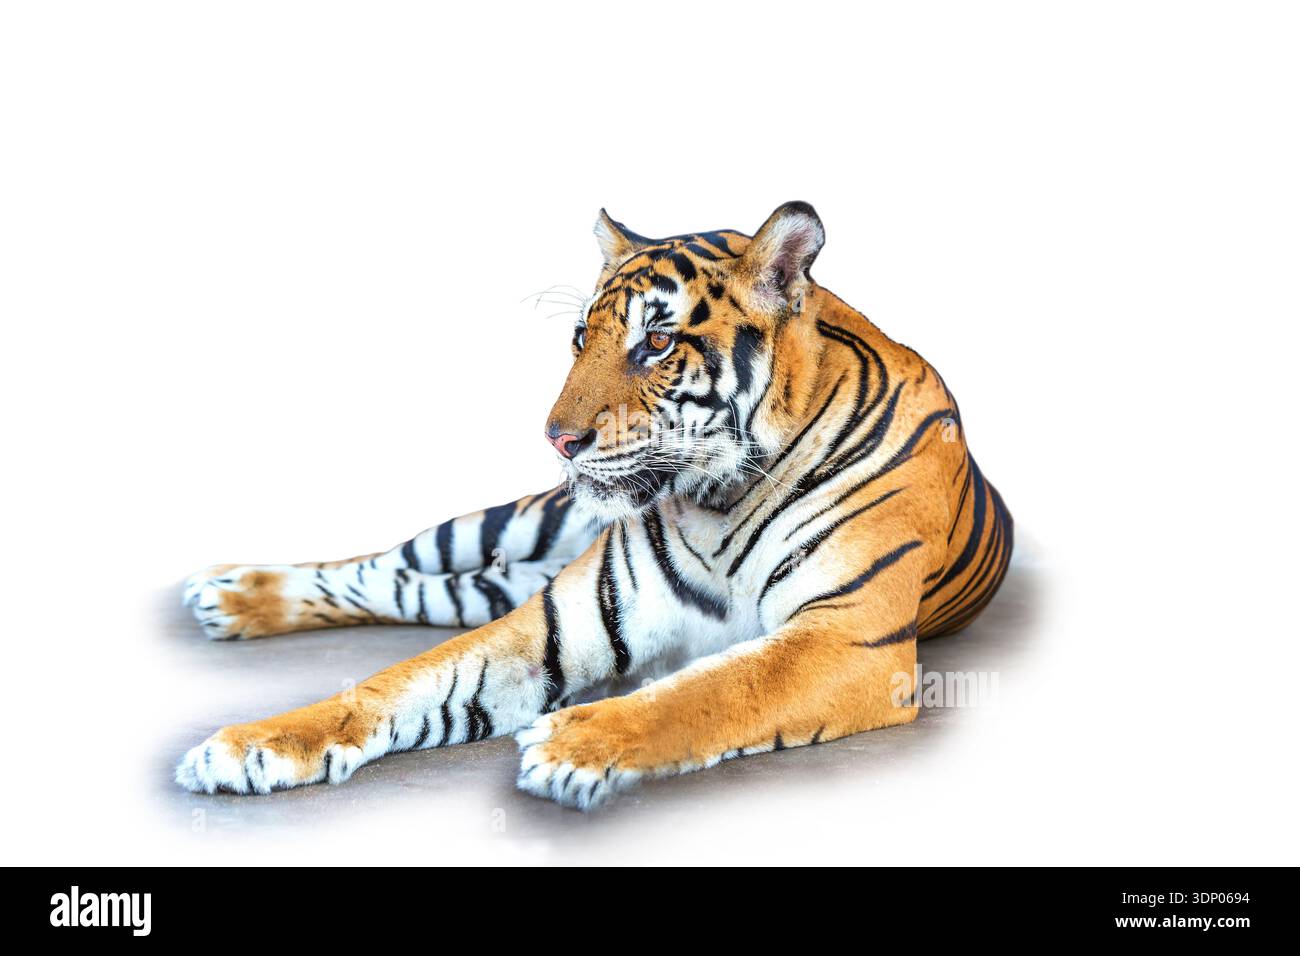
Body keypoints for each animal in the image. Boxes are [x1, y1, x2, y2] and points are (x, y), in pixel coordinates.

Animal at [175, 201, 1013, 809]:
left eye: (657, 344)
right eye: (582, 337)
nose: (558, 439)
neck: (719, 497)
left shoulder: (848, 640)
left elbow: (716, 688)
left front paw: (572, 744)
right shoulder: (555, 622)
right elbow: (398, 683)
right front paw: (246, 746)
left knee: (413, 587)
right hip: (506, 526)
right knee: (379, 564)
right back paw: (232, 591)